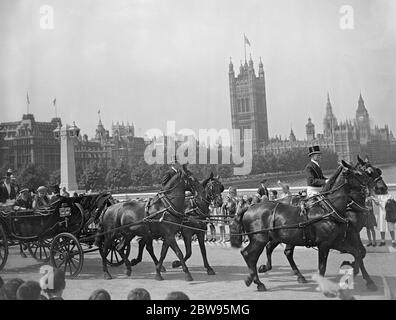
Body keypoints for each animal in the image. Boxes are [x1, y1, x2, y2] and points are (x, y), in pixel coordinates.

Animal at [230, 161, 386, 292]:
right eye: (363, 173)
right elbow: (323, 267)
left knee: (272, 252)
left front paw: (363, 276)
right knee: (249, 255)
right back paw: (256, 280)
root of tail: (249, 207)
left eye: (376, 170)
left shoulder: (338, 240)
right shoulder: (327, 243)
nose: (381, 188)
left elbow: (358, 253)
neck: (330, 208)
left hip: (277, 237)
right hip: (259, 239)